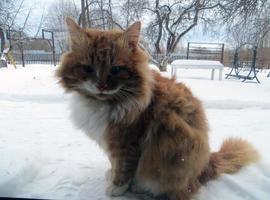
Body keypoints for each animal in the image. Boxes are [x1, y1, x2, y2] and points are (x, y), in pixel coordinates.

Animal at [56, 17, 260, 200]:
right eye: (88, 69)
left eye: (115, 69)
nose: (101, 86)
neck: (102, 103)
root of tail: (207, 163)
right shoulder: (111, 141)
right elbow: (114, 164)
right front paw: (111, 175)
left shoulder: (125, 141)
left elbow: (123, 168)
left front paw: (116, 188)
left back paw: (140, 188)